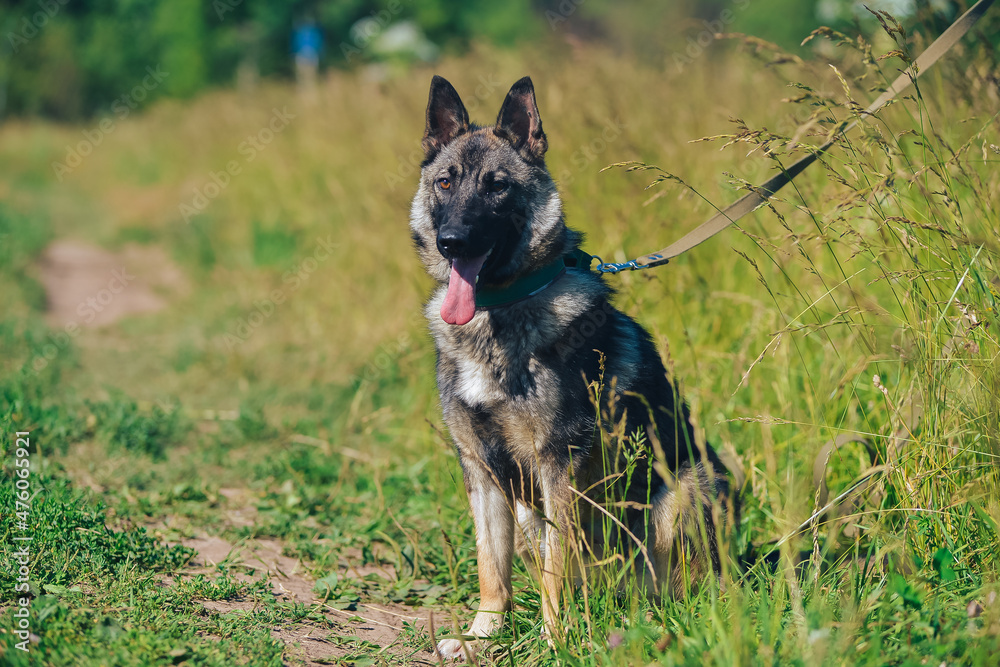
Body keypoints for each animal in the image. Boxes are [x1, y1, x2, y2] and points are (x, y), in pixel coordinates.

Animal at [410, 75, 740, 660]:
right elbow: (491, 568)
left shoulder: (558, 467)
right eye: (445, 183)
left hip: (685, 489)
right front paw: (482, 635)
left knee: (677, 585)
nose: (452, 242)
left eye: (497, 187)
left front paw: (553, 640)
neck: (499, 311)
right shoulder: (482, 471)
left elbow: (554, 569)